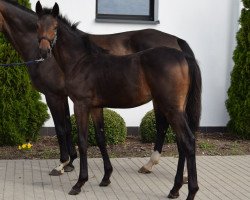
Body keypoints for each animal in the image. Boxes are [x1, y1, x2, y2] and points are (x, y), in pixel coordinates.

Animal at [0, 0, 199, 177]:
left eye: (55, 27)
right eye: (36, 26)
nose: (44, 52)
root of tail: (177, 43)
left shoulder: (53, 95)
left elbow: (61, 128)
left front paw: (62, 164)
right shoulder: (67, 97)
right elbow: (68, 127)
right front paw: (71, 162)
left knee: (165, 126)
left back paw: (163, 168)